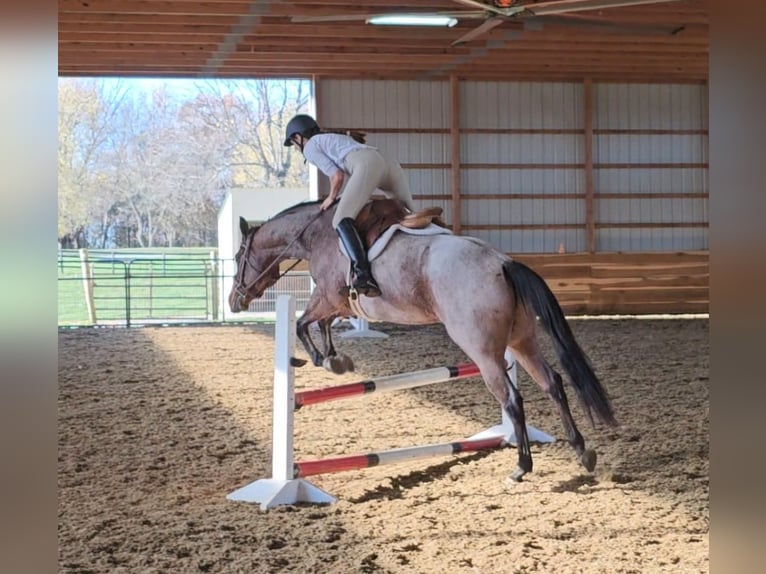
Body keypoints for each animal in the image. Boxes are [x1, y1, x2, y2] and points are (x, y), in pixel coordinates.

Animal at [228, 200, 616, 484]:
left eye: (237, 257)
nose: (235, 301)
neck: (318, 234)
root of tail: (503, 263)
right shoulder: (336, 303)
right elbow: (319, 324)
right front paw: (334, 358)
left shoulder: (327, 296)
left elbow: (300, 323)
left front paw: (319, 359)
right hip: (521, 342)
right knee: (553, 383)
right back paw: (582, 451)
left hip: (483, 352)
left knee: (512, 399)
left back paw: (521, 466)